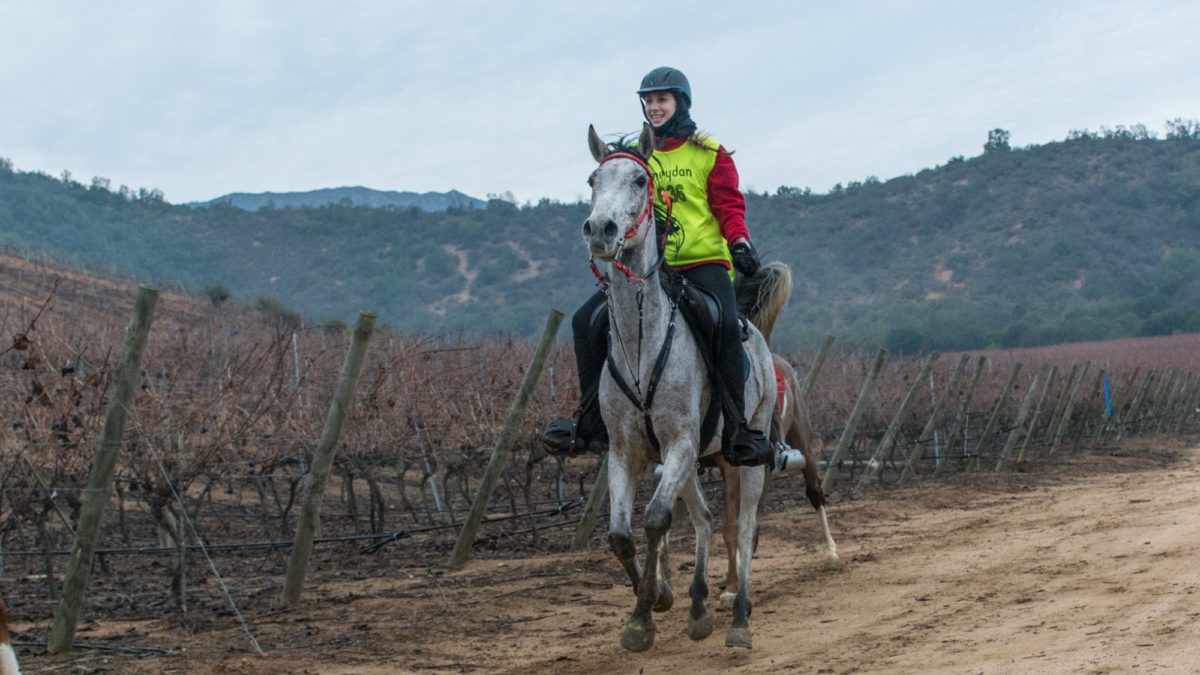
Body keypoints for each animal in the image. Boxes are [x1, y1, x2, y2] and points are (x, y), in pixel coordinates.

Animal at [583, 123, 787, 648]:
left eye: (640, 179)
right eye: (593, 179)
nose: (600, 229)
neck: (642, 341)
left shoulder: (678, 444)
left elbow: (656, 519)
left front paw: (644, 615)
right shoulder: (625, 451)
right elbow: (621, 534)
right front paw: (655, 601)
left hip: (746, 453)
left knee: (744, 527)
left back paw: (739, 619)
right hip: (694, 461)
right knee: (705, 518)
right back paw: (697, 607)